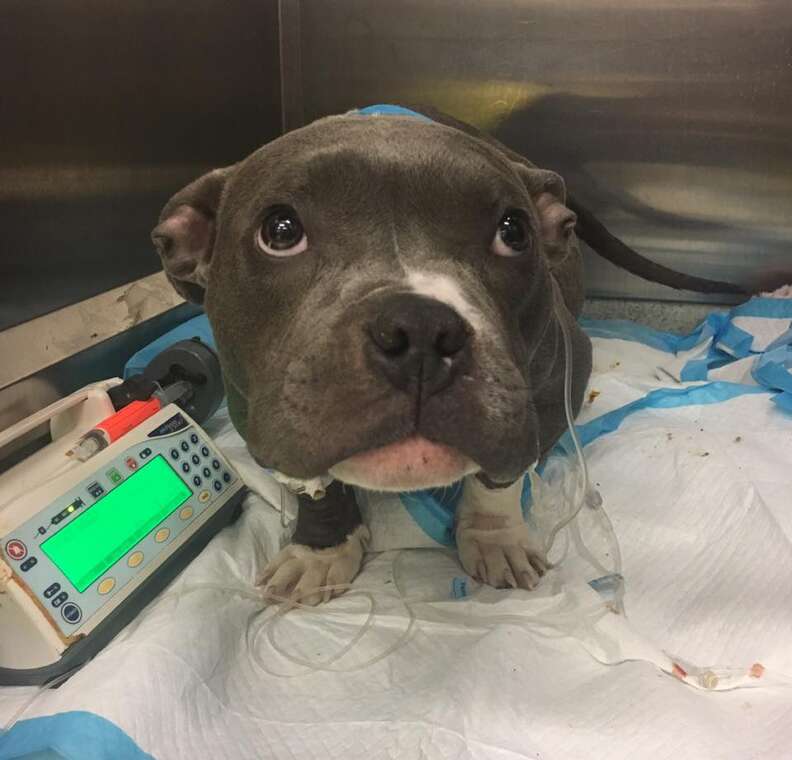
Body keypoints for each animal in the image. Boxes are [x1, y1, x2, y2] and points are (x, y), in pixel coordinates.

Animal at [153, 105, 744, 604]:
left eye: (514, 231)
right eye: (279, 231)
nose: (418, 330)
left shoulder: (552, 389)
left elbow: (500, 477)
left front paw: (496, 539)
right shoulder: (253, 413)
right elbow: (315, 488)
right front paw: (320, 550)